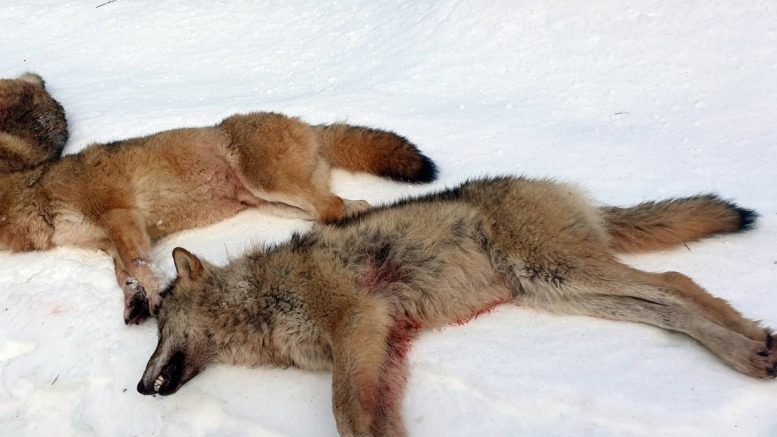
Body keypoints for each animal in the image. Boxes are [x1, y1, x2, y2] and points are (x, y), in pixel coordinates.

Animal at [0, 111, 436, 324]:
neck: (38, 195)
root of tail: (309, 125)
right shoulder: (111, 242)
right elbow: (125, 276)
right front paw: (135, 303)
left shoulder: (121, 216)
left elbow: (140, 267)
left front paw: (155, 296)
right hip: (271, 202)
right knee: (341, 205)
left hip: (267, 185)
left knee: (333, 206)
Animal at [137, 176, 773, 437]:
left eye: (158, 326)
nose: (141, 387)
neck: (260, 299)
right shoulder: (382, 339)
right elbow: (366, 409)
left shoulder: (357, 321)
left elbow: (346, 412)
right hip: (559, 290)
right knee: (670, 305)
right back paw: (752, 351)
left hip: (559, 273)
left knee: (676, 279)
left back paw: (750, 349)